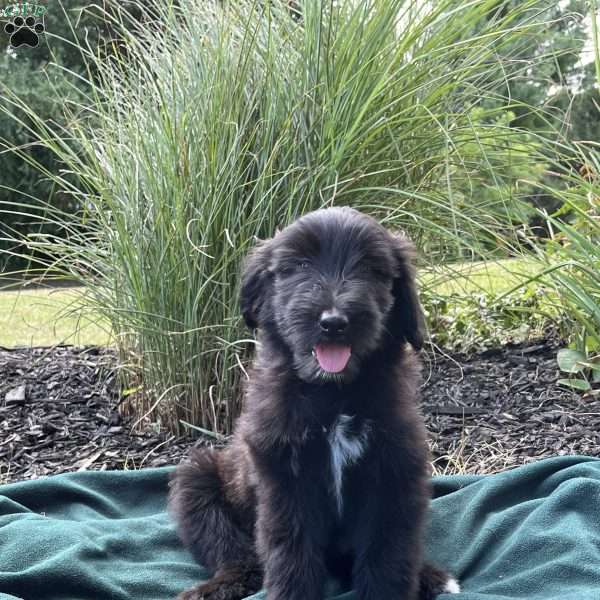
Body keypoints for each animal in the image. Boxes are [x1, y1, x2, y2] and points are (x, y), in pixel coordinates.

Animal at [169, 207, 460, 600]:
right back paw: (218, 586)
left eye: (371, 269)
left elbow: (389, 550)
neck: (333, 397)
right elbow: (291, 551)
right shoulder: (284, 480)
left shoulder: (394, 472)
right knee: (235, 552)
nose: (333, 322)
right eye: (301, 265)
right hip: (196, 481)